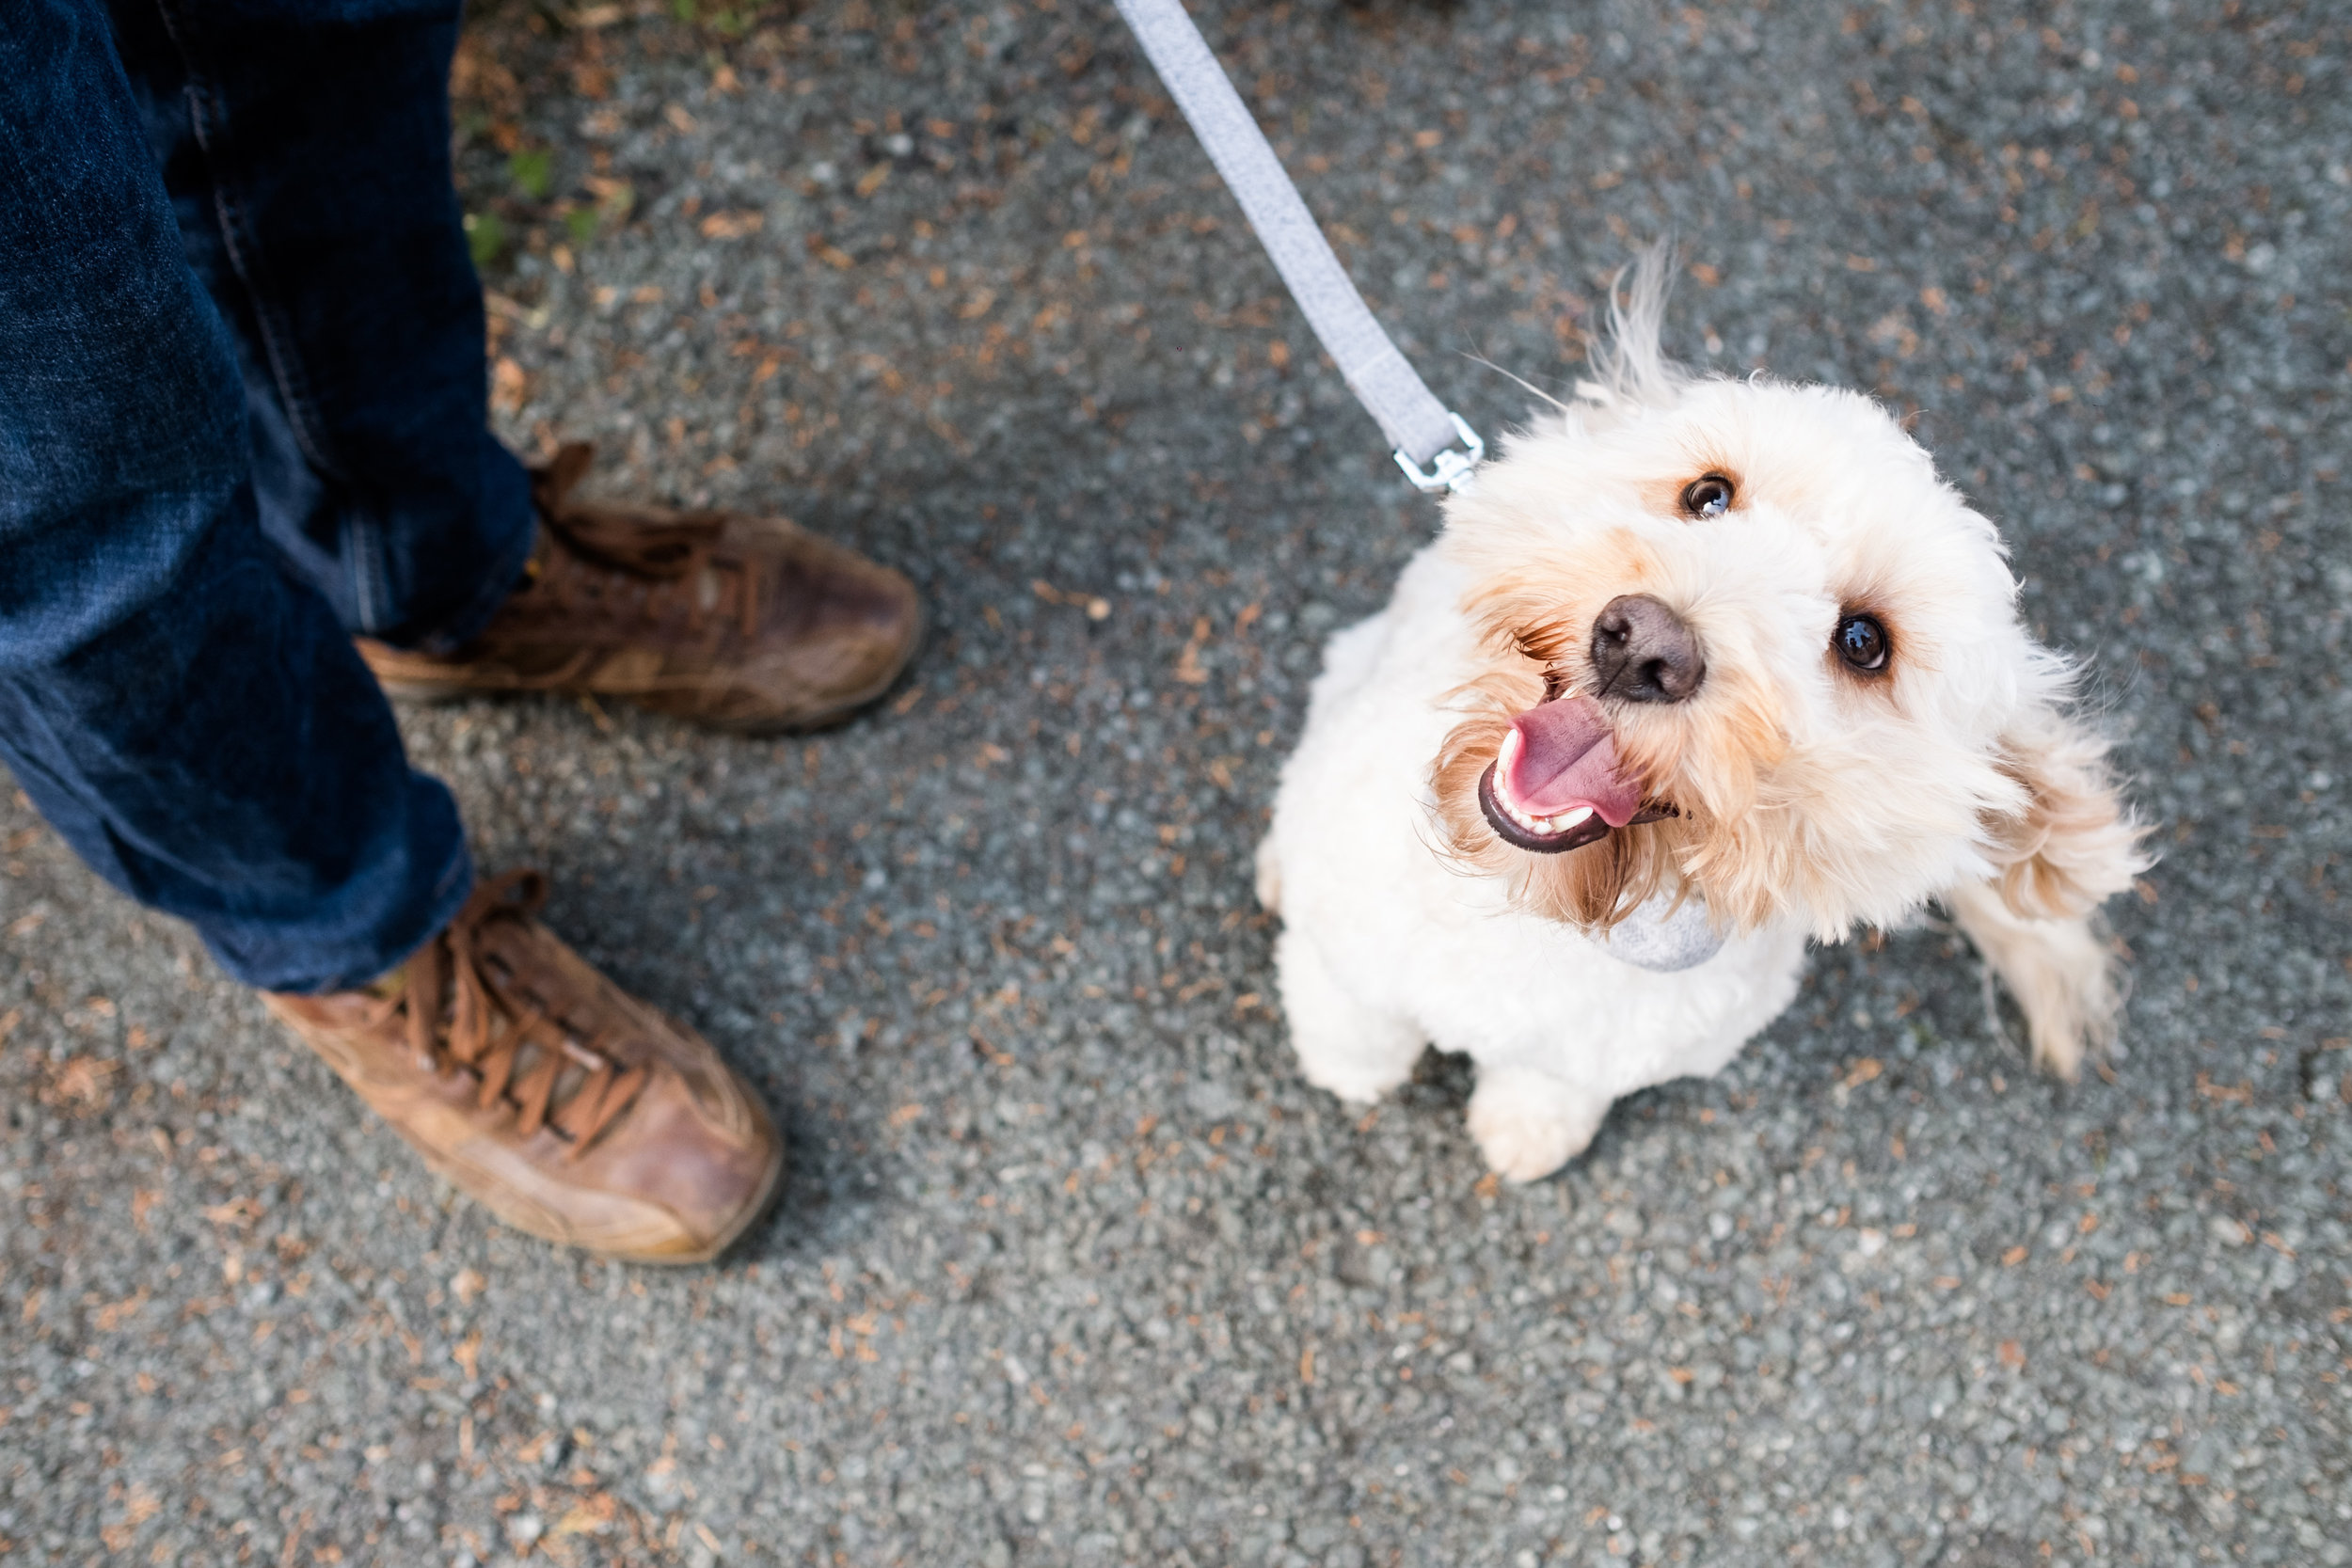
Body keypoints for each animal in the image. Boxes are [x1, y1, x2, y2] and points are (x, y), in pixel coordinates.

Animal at [1261, 262, 2145, 1184]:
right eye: (1708, 495)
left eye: (1864, 642)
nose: (1644, 644)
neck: (1536, 904)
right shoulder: (1341, 943)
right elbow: (1349, 1026)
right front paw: (1351, 1074)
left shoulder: (1618, 1051)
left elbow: (1551, 1084)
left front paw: (1526, 1131)